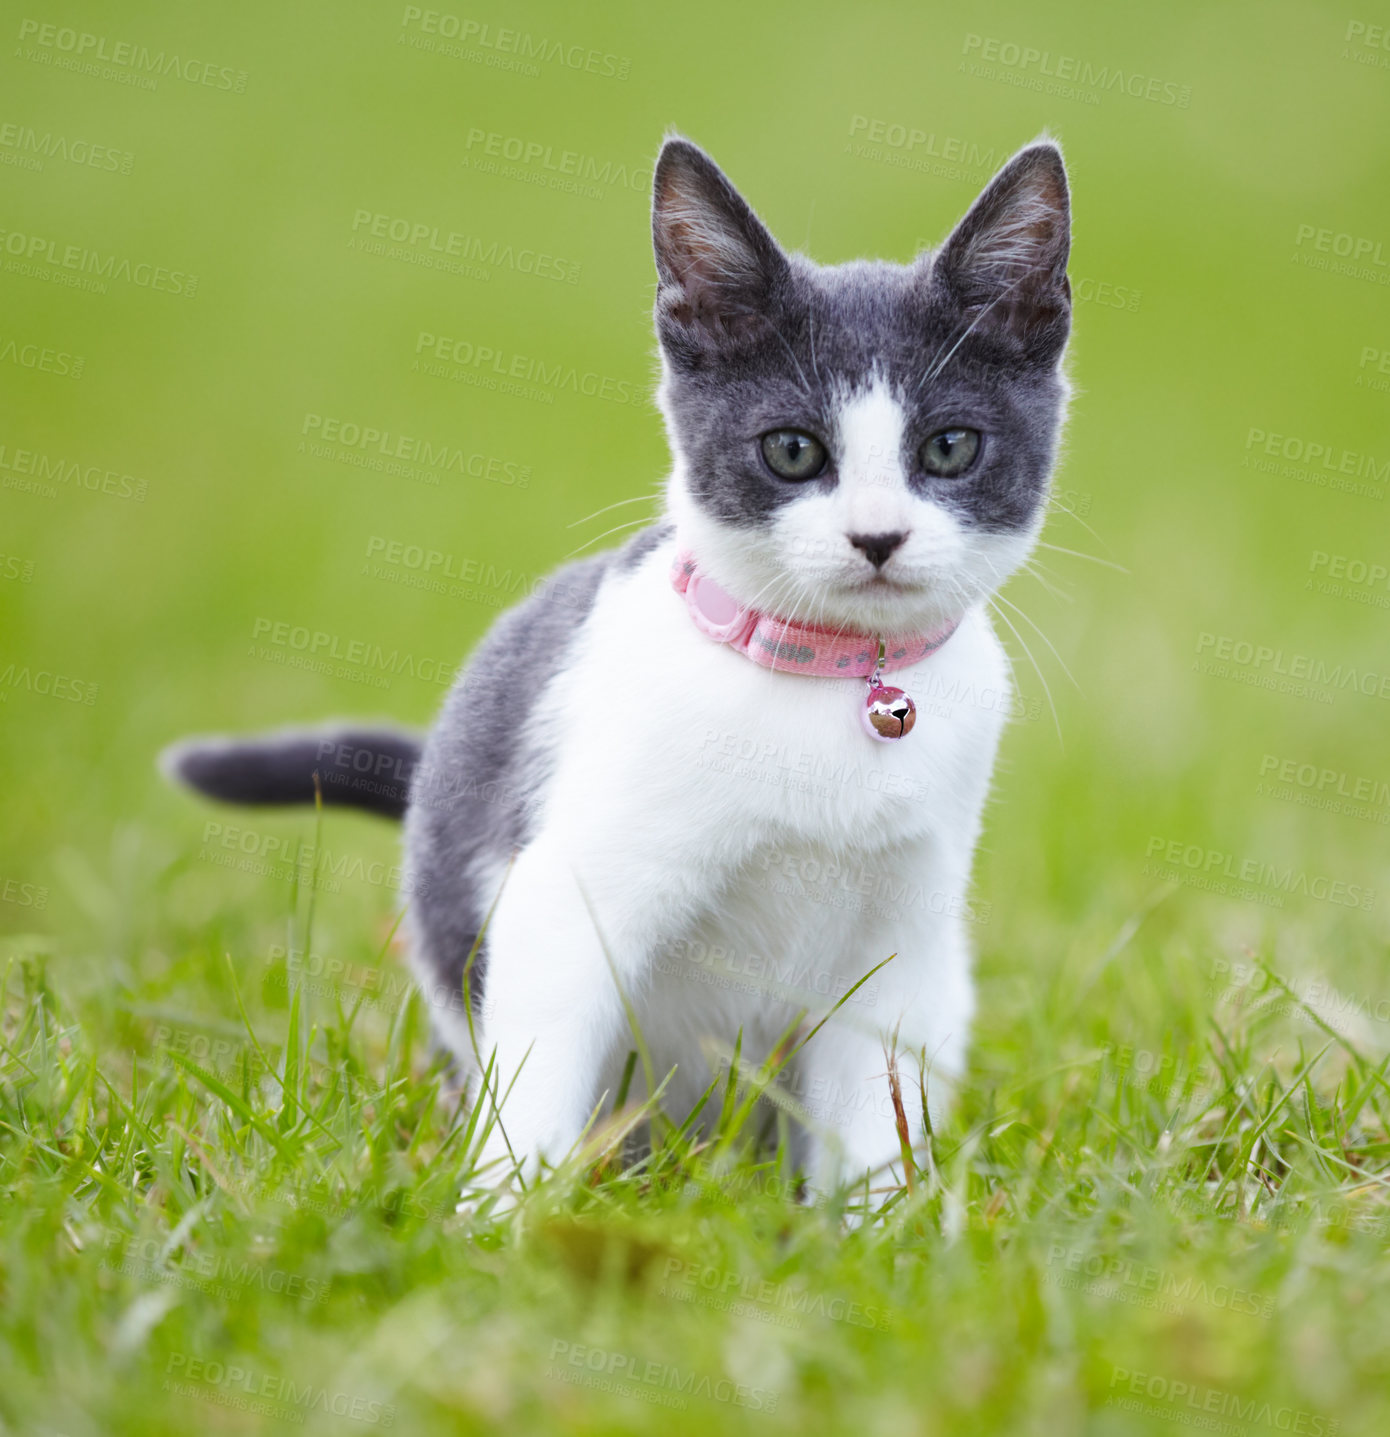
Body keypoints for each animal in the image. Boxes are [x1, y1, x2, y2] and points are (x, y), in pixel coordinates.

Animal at [166, 135, 1075, 1195]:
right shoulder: (564, 900)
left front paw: (873, 1226)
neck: (834, 680)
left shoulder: (901, 944)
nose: (878, 536)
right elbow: (535, 1082)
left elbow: (873, 1115)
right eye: (792, 450)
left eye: (951, 446)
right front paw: (499, 1215)